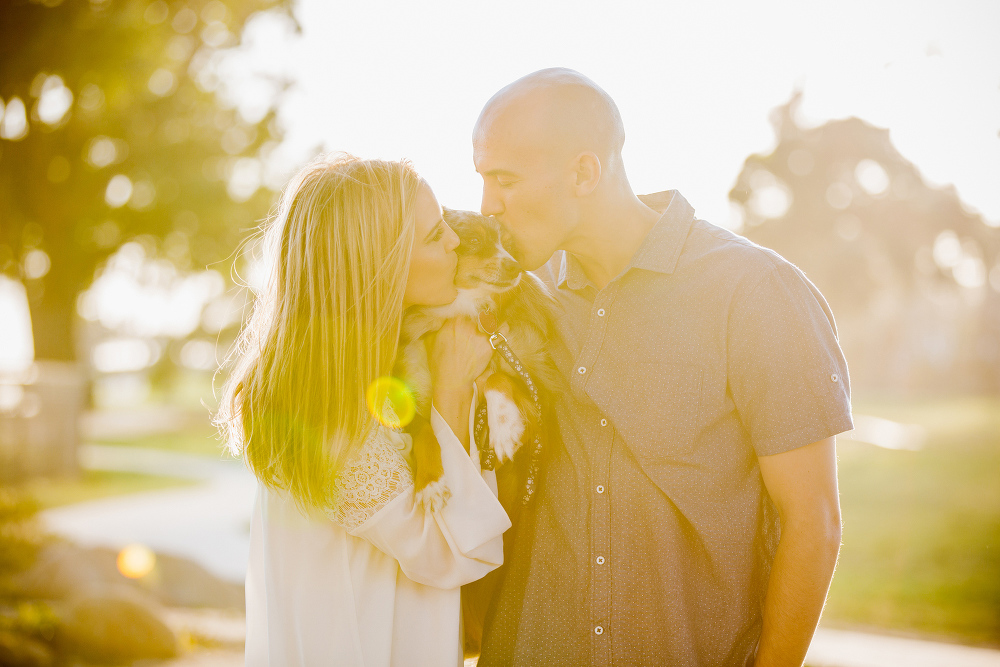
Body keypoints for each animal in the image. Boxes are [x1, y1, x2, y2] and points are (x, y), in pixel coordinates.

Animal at [394, 209, 560, 512]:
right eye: (473, 240)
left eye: (509, 245)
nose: (515, 267)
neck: (464, 306)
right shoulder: (412, 394)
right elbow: (423, 428)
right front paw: (429, 482)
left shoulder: (542, 401)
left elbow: (497, 376)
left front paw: (504, 427)